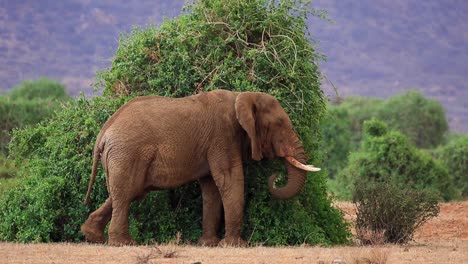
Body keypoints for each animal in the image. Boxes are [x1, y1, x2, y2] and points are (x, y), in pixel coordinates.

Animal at [81, 89, 322, 248]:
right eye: (279, 125)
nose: (275, 175)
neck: (242, 96)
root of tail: (105, 131)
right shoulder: (223, 136)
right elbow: (231, 179)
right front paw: (235, 245)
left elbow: (211, 189)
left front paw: (209, 244)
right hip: (128, 153)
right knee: (126, 194)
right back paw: (124, 243)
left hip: (122, 156)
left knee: (127, 192)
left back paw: (92, 236)